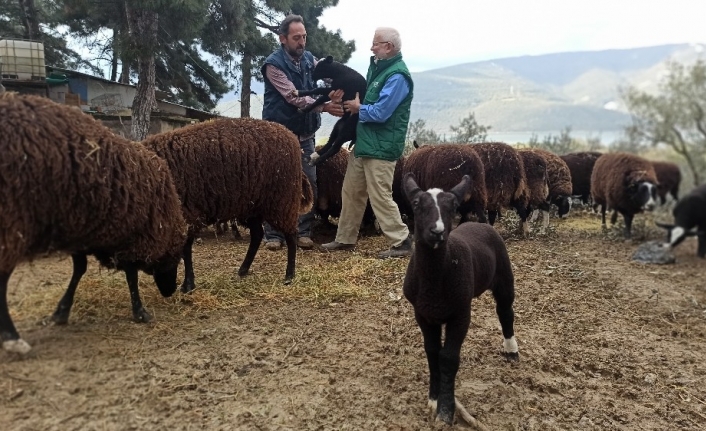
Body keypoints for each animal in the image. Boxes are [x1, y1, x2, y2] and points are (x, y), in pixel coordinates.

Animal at [0, 93, 187, 354]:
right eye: (176, 259)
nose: (170, 292)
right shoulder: (131, 233)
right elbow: (131, 274)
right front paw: (140, 312)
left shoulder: (84, 230)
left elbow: (79, 270)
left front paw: (61, 311)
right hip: (13, 222)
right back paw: (12, 338)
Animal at [140, 117, 310, 290]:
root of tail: (291, 135)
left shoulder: (188, 214)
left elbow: (186, 249)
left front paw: (188, 284)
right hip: (251, 207)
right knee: (257, 235)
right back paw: (243, 269)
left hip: (282, 201)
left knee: (291, 235)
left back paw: (289, 275)